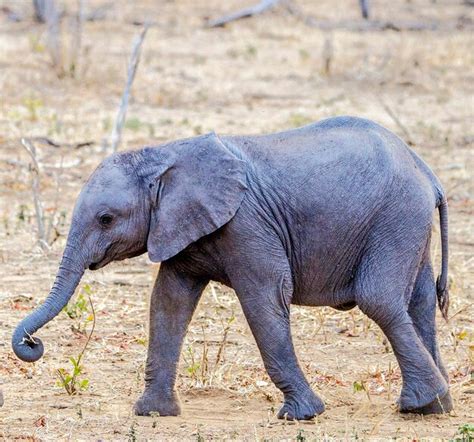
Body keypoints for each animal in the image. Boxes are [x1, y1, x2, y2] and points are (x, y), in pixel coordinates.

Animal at [12, 116, 452, 418]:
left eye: (105, 219)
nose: (33, 344)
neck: (163, 155)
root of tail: (428, 172)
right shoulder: (182, 227)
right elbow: (168, 302)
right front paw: (153, 413)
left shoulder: (246, 224)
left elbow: (264, 300)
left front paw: (301, 416)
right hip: (407, 223)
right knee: (419, 303)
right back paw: (438, 406)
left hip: (396, 217)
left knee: (378, 299)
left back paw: (418, 404)